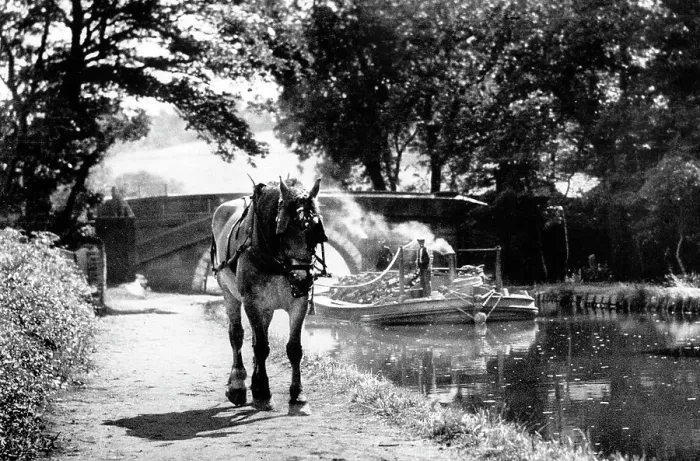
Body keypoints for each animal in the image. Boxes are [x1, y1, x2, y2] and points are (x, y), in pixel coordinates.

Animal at [210, 178, 327, 415]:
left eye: (315, 230)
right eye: (282, 233)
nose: (302, 280)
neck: (277, 261)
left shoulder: (298, 303)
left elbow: (294, 349)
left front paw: (298, 397)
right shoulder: (252, 303)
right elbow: (262, 347)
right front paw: (263, 394)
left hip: (268, 308)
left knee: (257, 336)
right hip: (230, 294)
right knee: (237, 335)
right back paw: (238, 385)